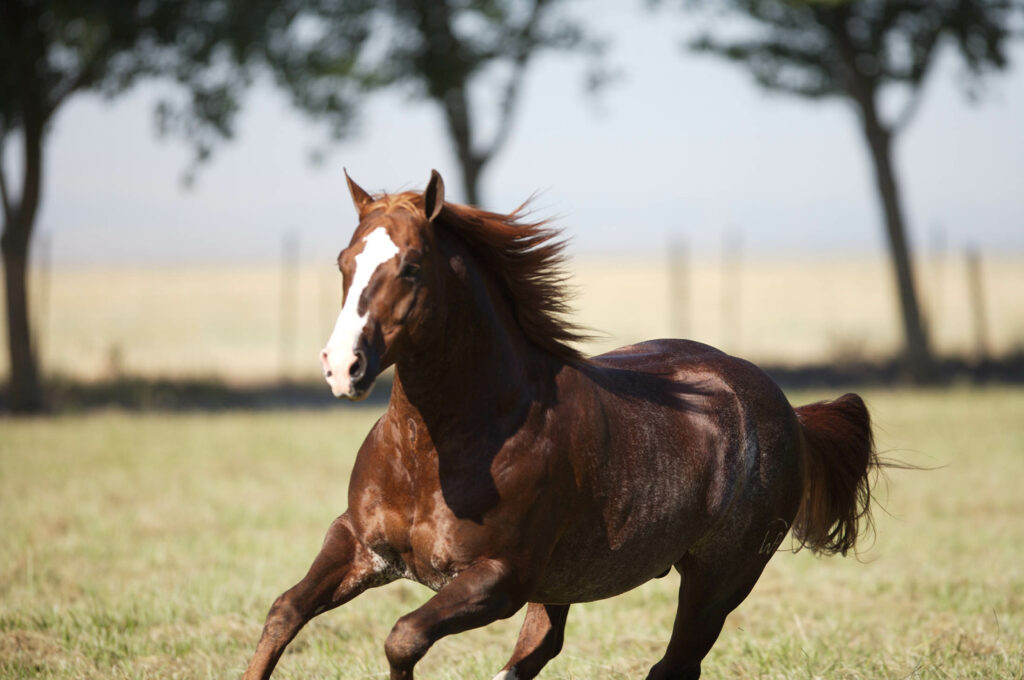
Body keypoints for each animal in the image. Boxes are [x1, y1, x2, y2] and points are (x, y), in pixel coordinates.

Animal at [241, 171, 880, 680]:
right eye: (344, 263)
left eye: (411, 268)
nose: (341, 366)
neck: (437, 450)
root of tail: (787, 411)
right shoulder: (359, 543)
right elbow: (285, 611)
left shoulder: (499, 579)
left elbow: (403, 638)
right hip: (568, 582)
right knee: (541, 651)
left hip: (718, 578)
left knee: (672, 666)